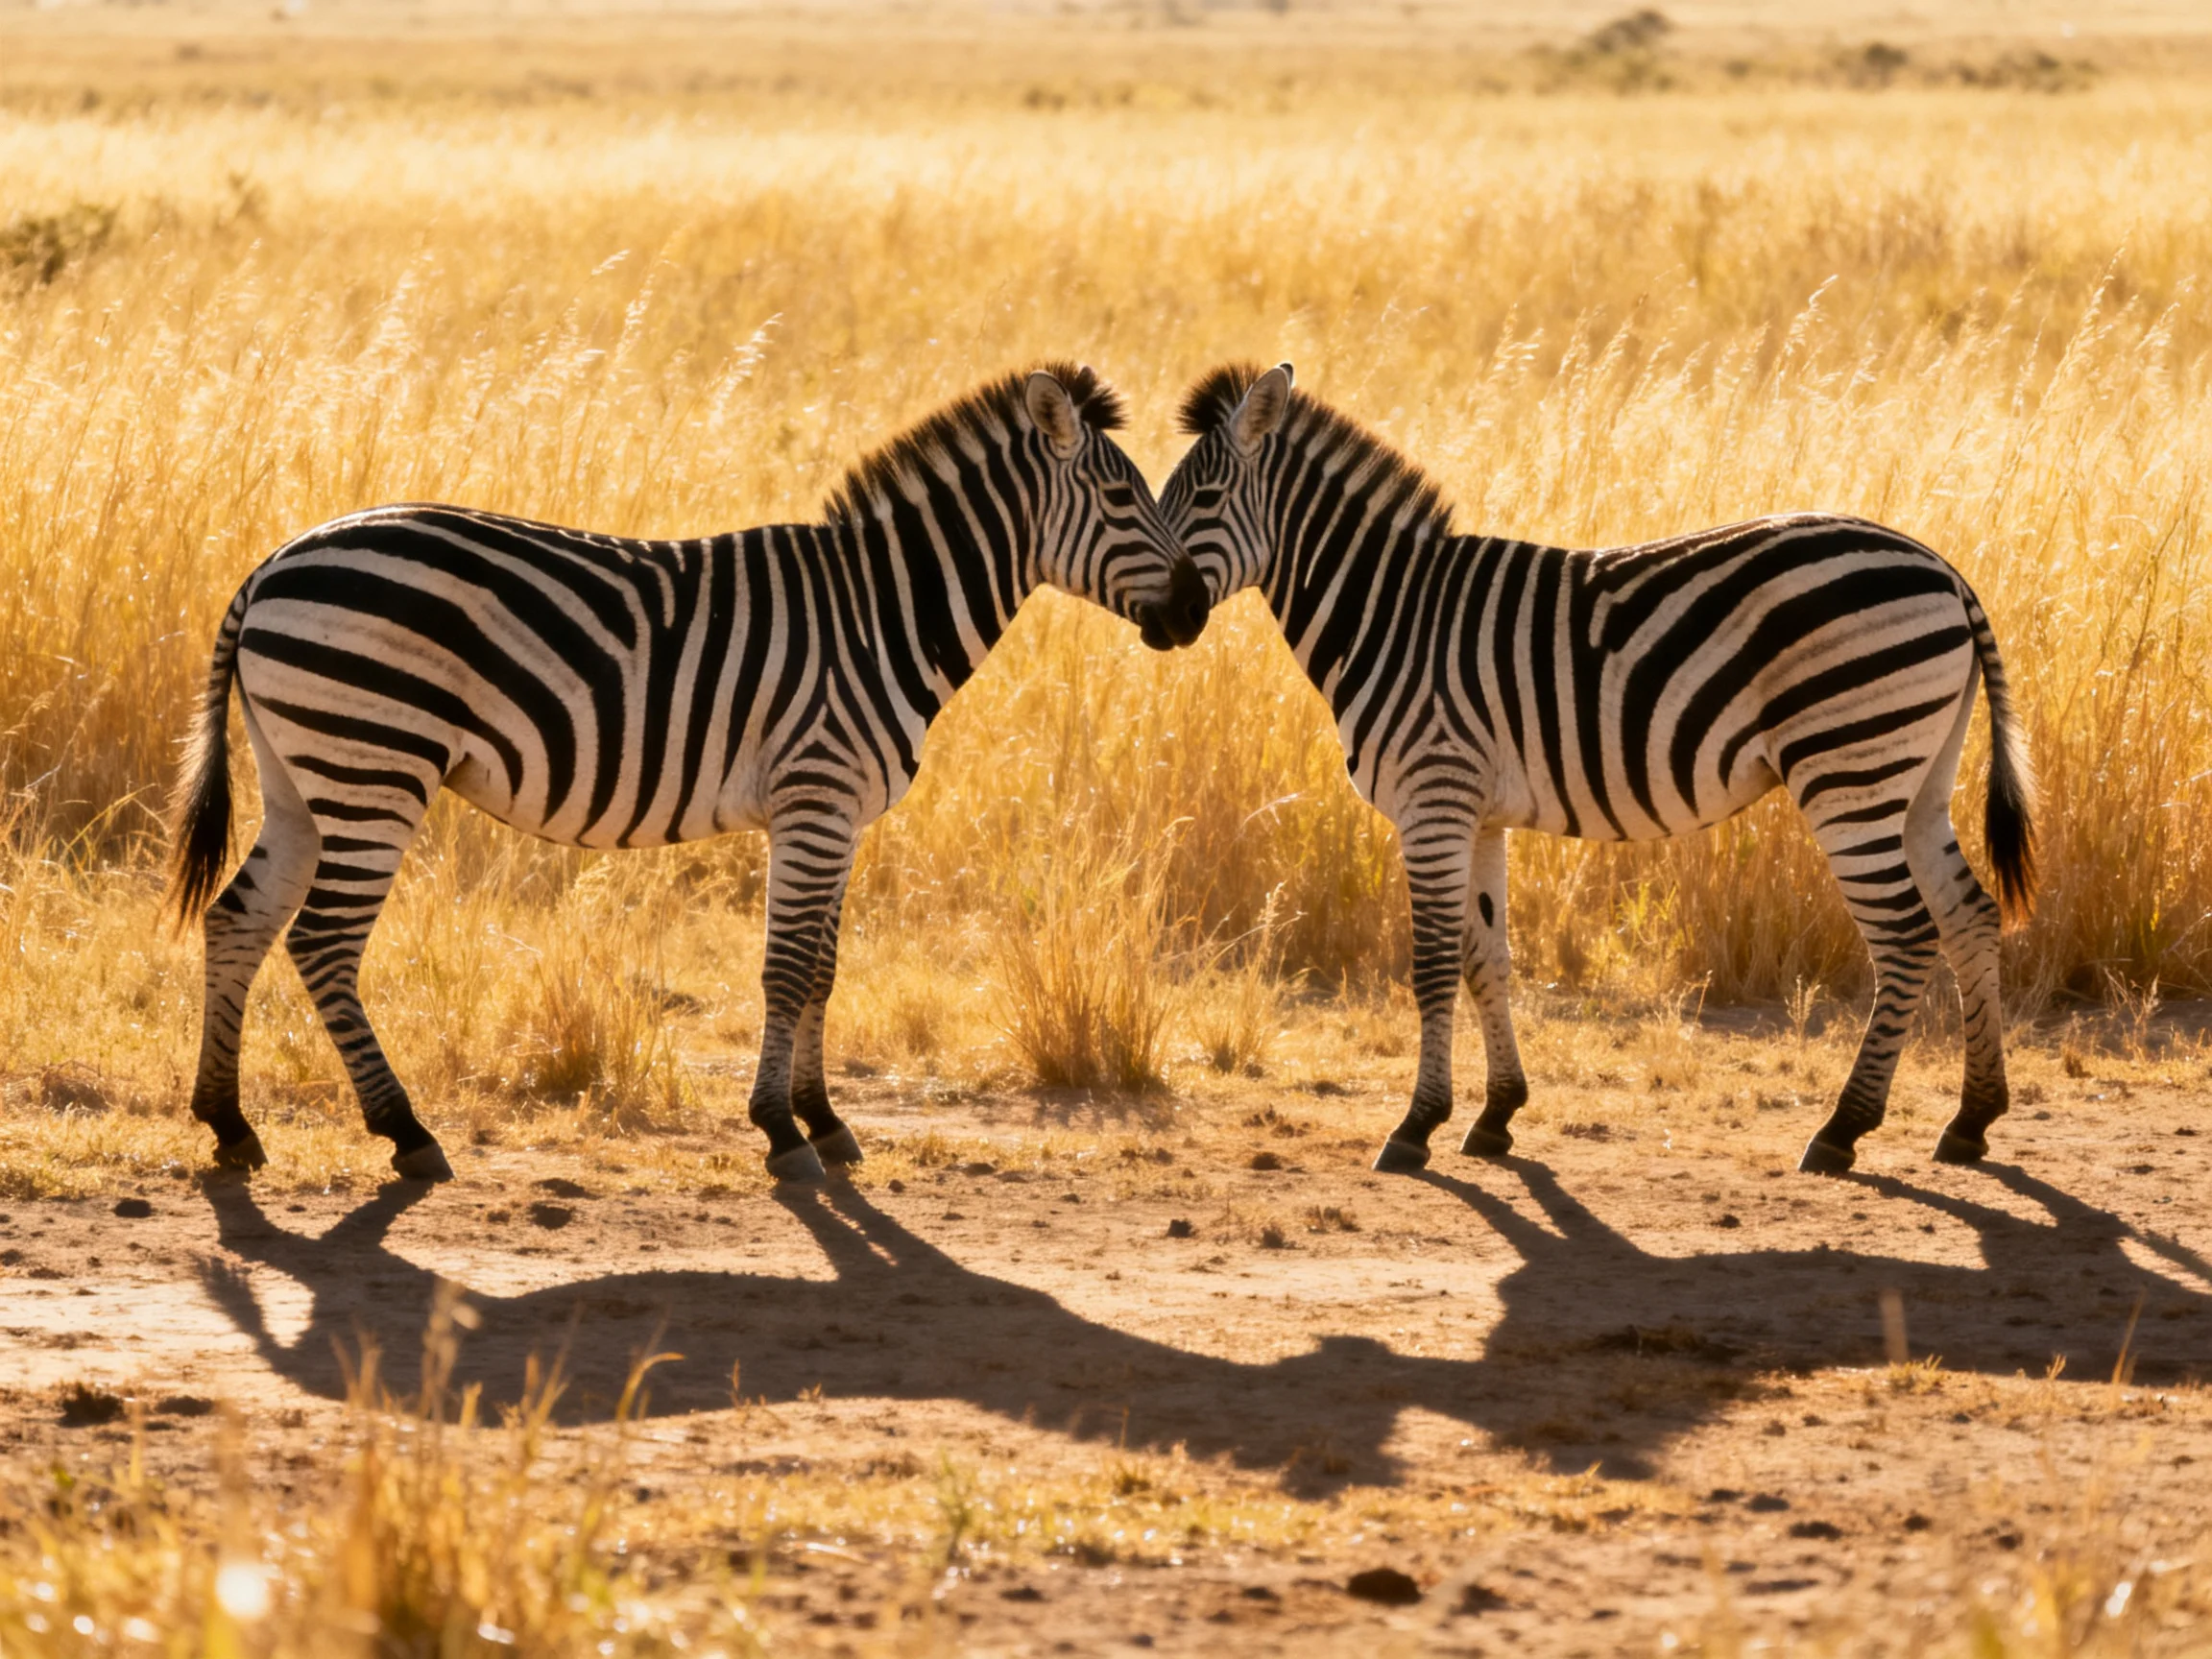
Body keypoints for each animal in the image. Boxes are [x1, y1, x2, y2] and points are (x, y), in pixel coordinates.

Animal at [167, 364, 1210, 1184]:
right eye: (1125, 503)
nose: (1199, 609)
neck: (881, 615)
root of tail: (270, 565)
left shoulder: (838, 815)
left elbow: (824, 967)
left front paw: (826, 1119)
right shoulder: (815, 795)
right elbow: (788, 969)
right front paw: (782, 1131)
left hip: (305, 774)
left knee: (238, 918)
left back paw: (228, 1124)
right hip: (374, 764)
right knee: (322, 943)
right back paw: (405, 1133)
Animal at [1162, 363, 2036, 1177]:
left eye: (1201, 499)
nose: (1157, 620)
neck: (1392, 617)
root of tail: (1944, 569)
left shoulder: (1433, 795)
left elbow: (1435, 961)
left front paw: (1416, 1126)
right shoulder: (1477, 811)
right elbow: (1488, 958)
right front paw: (1497, 1115)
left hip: (1849, 768)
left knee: (1906, 935)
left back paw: (1843, 1130)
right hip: (1915, 778)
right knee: (1968, 915)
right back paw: (1972, 1119)